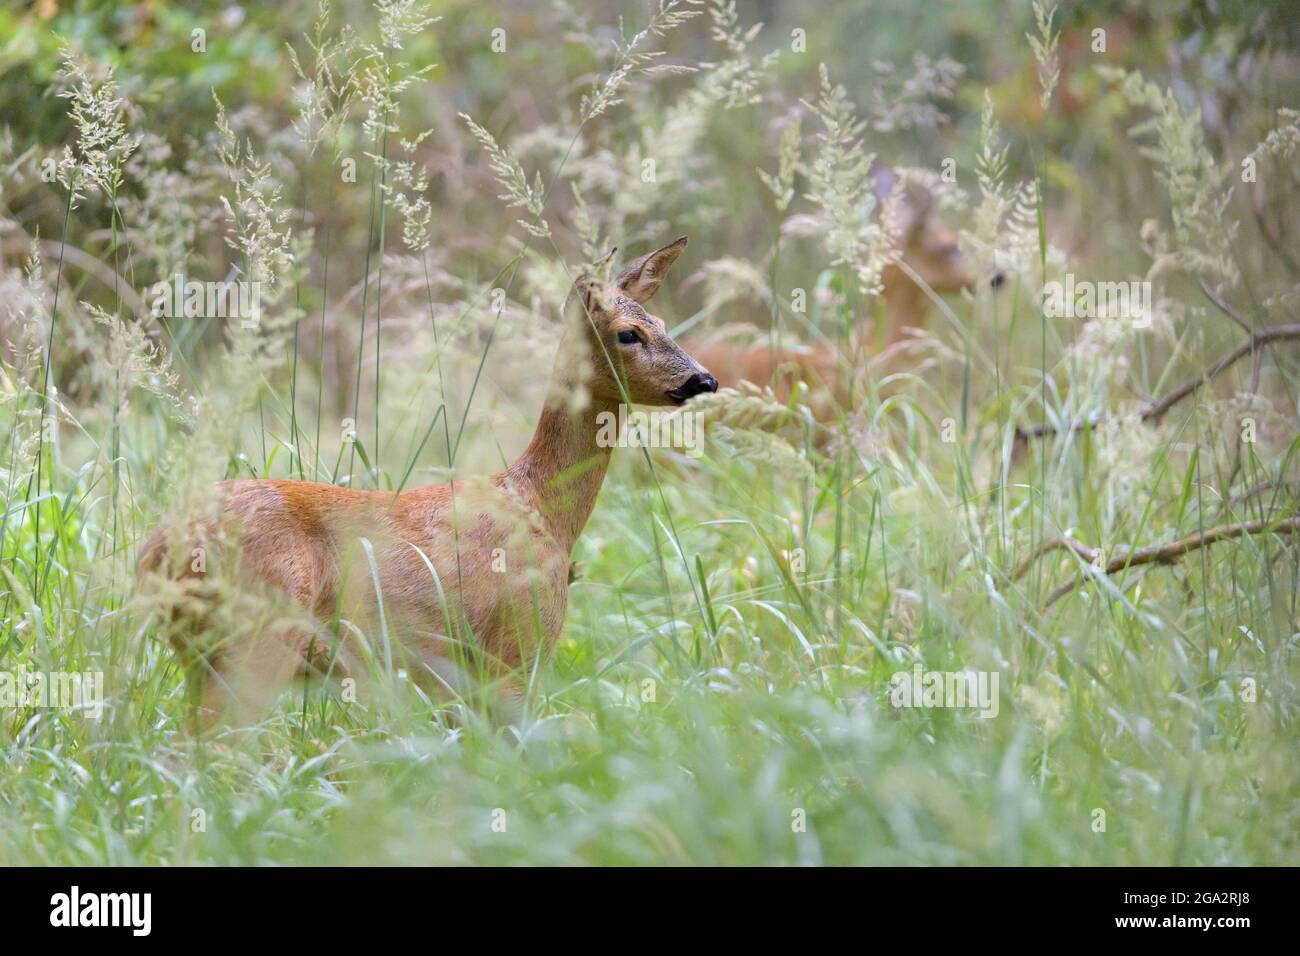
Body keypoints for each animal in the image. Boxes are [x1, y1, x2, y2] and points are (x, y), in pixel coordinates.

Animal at [137, 238, 717, 723]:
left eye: (662, 321)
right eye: (629, 333)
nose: (704, 380)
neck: (541, 510)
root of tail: (156, 549)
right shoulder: (517, 647)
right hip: (254, 640)